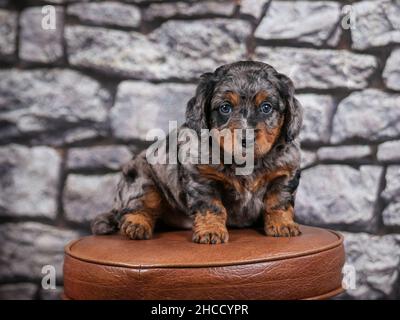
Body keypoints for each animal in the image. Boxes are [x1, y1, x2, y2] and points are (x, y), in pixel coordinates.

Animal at [91, 60, 304, 245]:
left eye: (266, 107)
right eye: (225, 108)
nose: (247, 139)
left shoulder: (285, 173)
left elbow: (279, 202)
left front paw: (283, 224)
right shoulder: (201, 177)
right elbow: (211, 206)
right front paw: (211, 231)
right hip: (141, 179)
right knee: (140, 205)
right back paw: (136, 224)